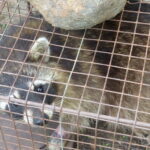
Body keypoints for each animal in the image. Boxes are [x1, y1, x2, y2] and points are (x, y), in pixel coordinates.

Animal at [0, 6, 150, 149]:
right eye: (14, 104)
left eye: (39, 89)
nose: (41, 120)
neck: (13, 53)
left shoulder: (82, 67)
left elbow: (87, 104)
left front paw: (63, 130)